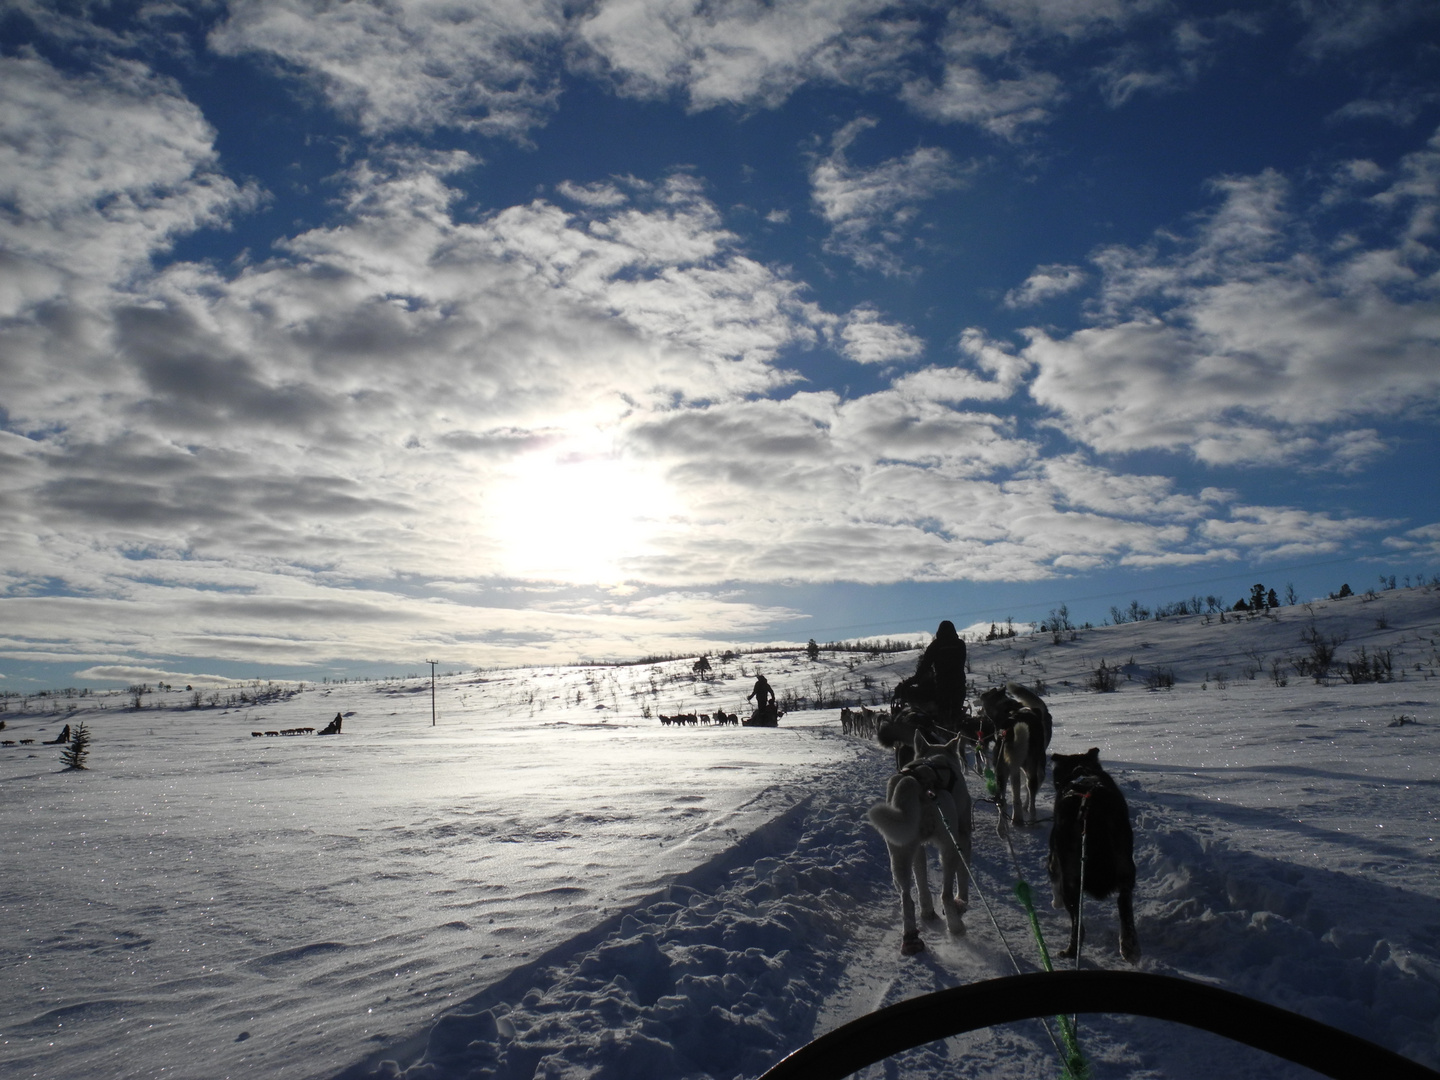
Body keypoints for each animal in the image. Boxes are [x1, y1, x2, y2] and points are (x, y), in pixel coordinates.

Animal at [858, 737, 973, 956]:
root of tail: (917, 781)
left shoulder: (918, 849)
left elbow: (921, 880)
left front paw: (927, 911)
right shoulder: (963, 836)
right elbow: (963, 875)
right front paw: (961, 903)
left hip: (899, 852)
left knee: (906, 898)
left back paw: (911, 938)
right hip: (948, 846)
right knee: (945, 893)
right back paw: (956, 926)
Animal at [1048, 748, 1134, 967]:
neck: (1081, 771)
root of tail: (1091, 808)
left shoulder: (1054, 859)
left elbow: (1054, 881)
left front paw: (1055, 902)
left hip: (1071, 880)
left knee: (1079, 927)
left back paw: (1070, 951)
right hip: (1125, 866)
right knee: (1124, 902)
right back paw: (1129, 946)